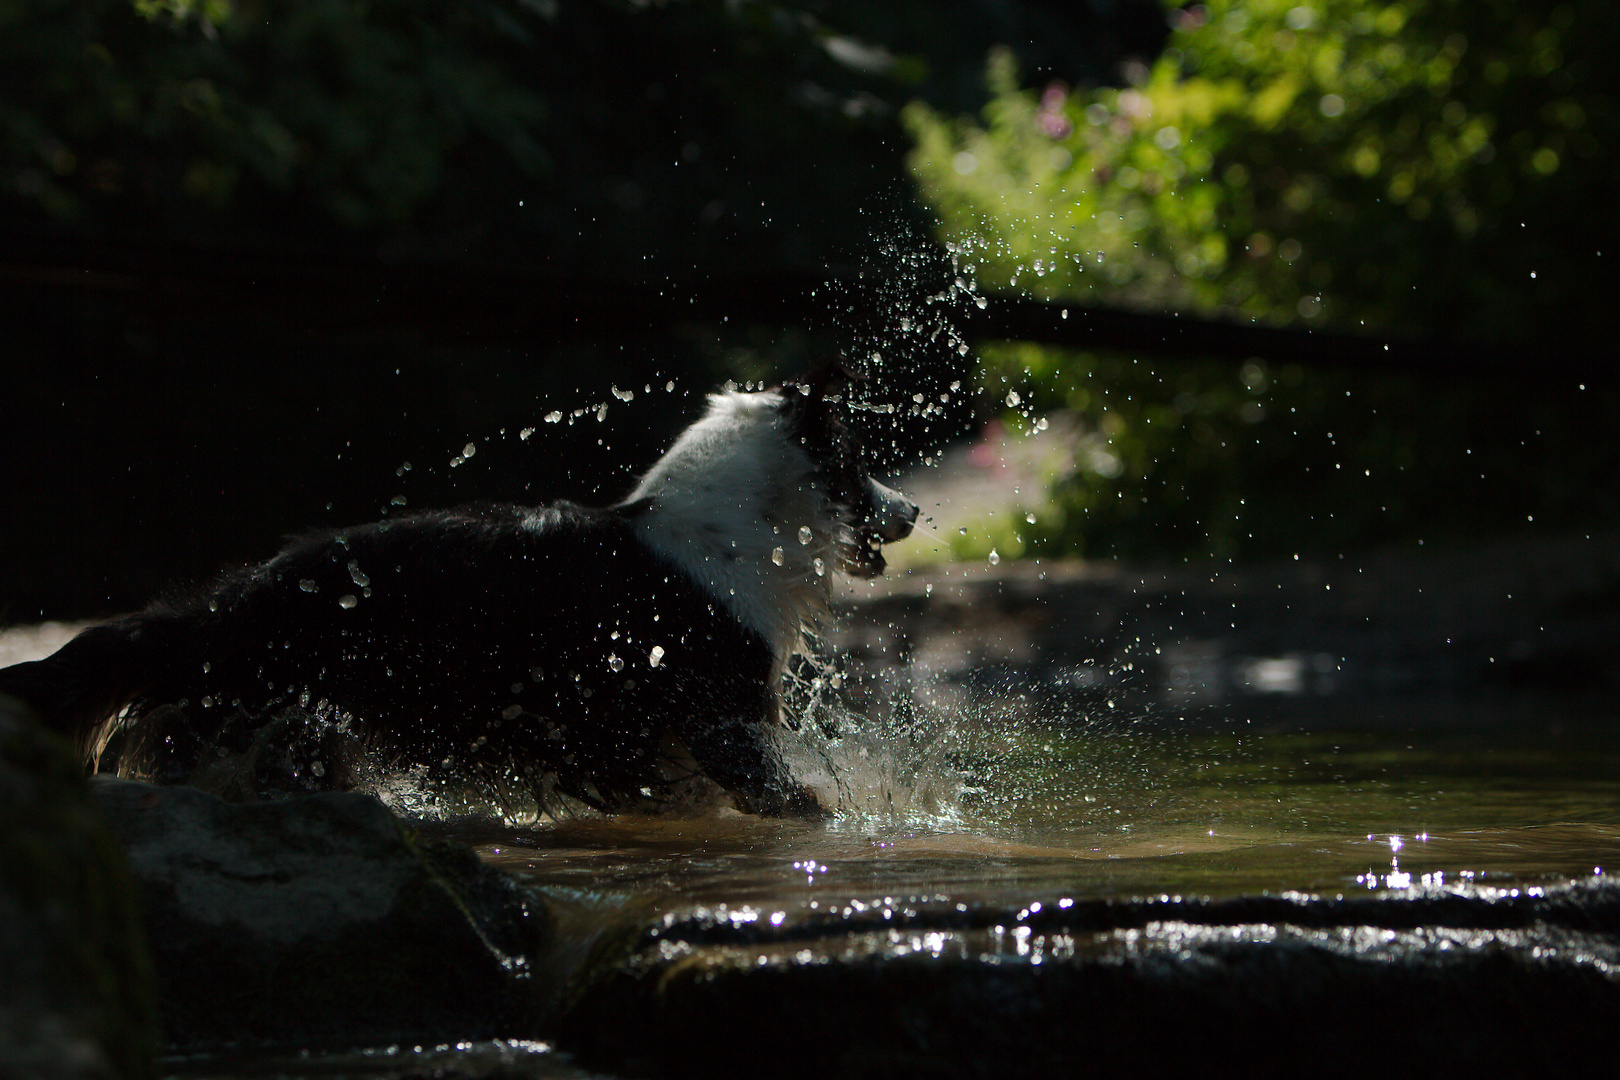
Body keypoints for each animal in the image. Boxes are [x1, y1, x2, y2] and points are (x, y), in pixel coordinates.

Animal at [0, 362, 913, 809]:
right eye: (856, 462)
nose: (908, 511)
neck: (731, 528)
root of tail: (232, 603)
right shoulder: (717, 716)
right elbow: (782, 798)